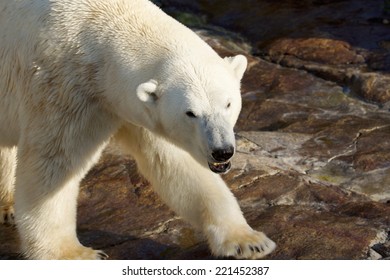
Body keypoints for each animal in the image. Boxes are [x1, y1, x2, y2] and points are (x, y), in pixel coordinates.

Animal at [0, 0, 274, 260]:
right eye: (191, 113)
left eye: (228, 104)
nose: (222, 151)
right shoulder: (64, 87)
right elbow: (53, 166)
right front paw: (75, 254)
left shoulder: (135, 108)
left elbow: (174, 163)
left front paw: (249, 241)